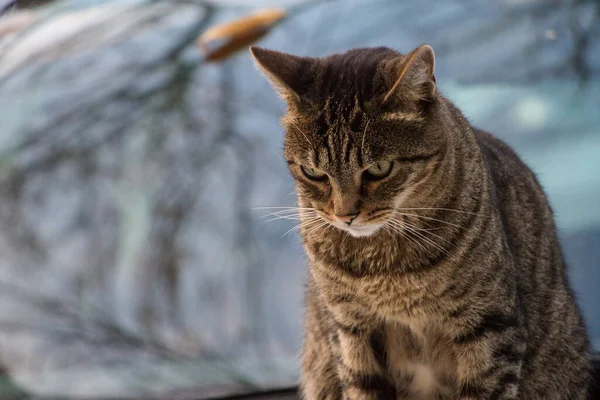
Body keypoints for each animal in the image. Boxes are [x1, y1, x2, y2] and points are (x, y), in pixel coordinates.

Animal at [250, 44, 592, 400]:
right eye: (313, 173)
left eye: (379, 169)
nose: (345, 216)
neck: (383, 265)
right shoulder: (350, 331)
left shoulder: (489, 325)